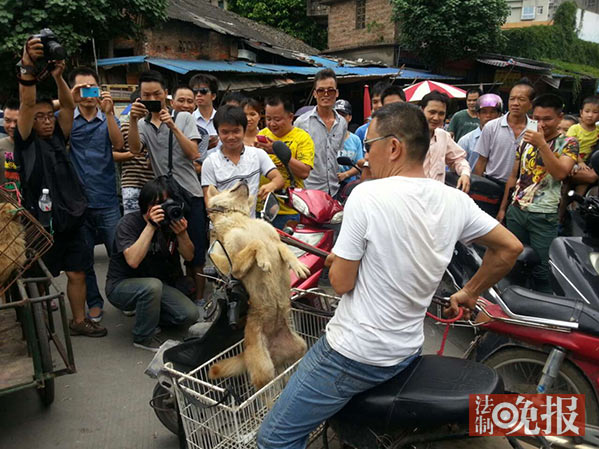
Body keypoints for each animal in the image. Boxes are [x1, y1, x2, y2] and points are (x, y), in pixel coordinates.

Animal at [205, 182, 310, 388]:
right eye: (227, 188)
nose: (243, 180)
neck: (241, 222)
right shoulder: (236, 267)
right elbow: (256, 244)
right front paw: (263, 261)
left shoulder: (275, 241)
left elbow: (285, 249)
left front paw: (298, 265)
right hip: (264, 371)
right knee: (266, 390)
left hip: (301, 347)